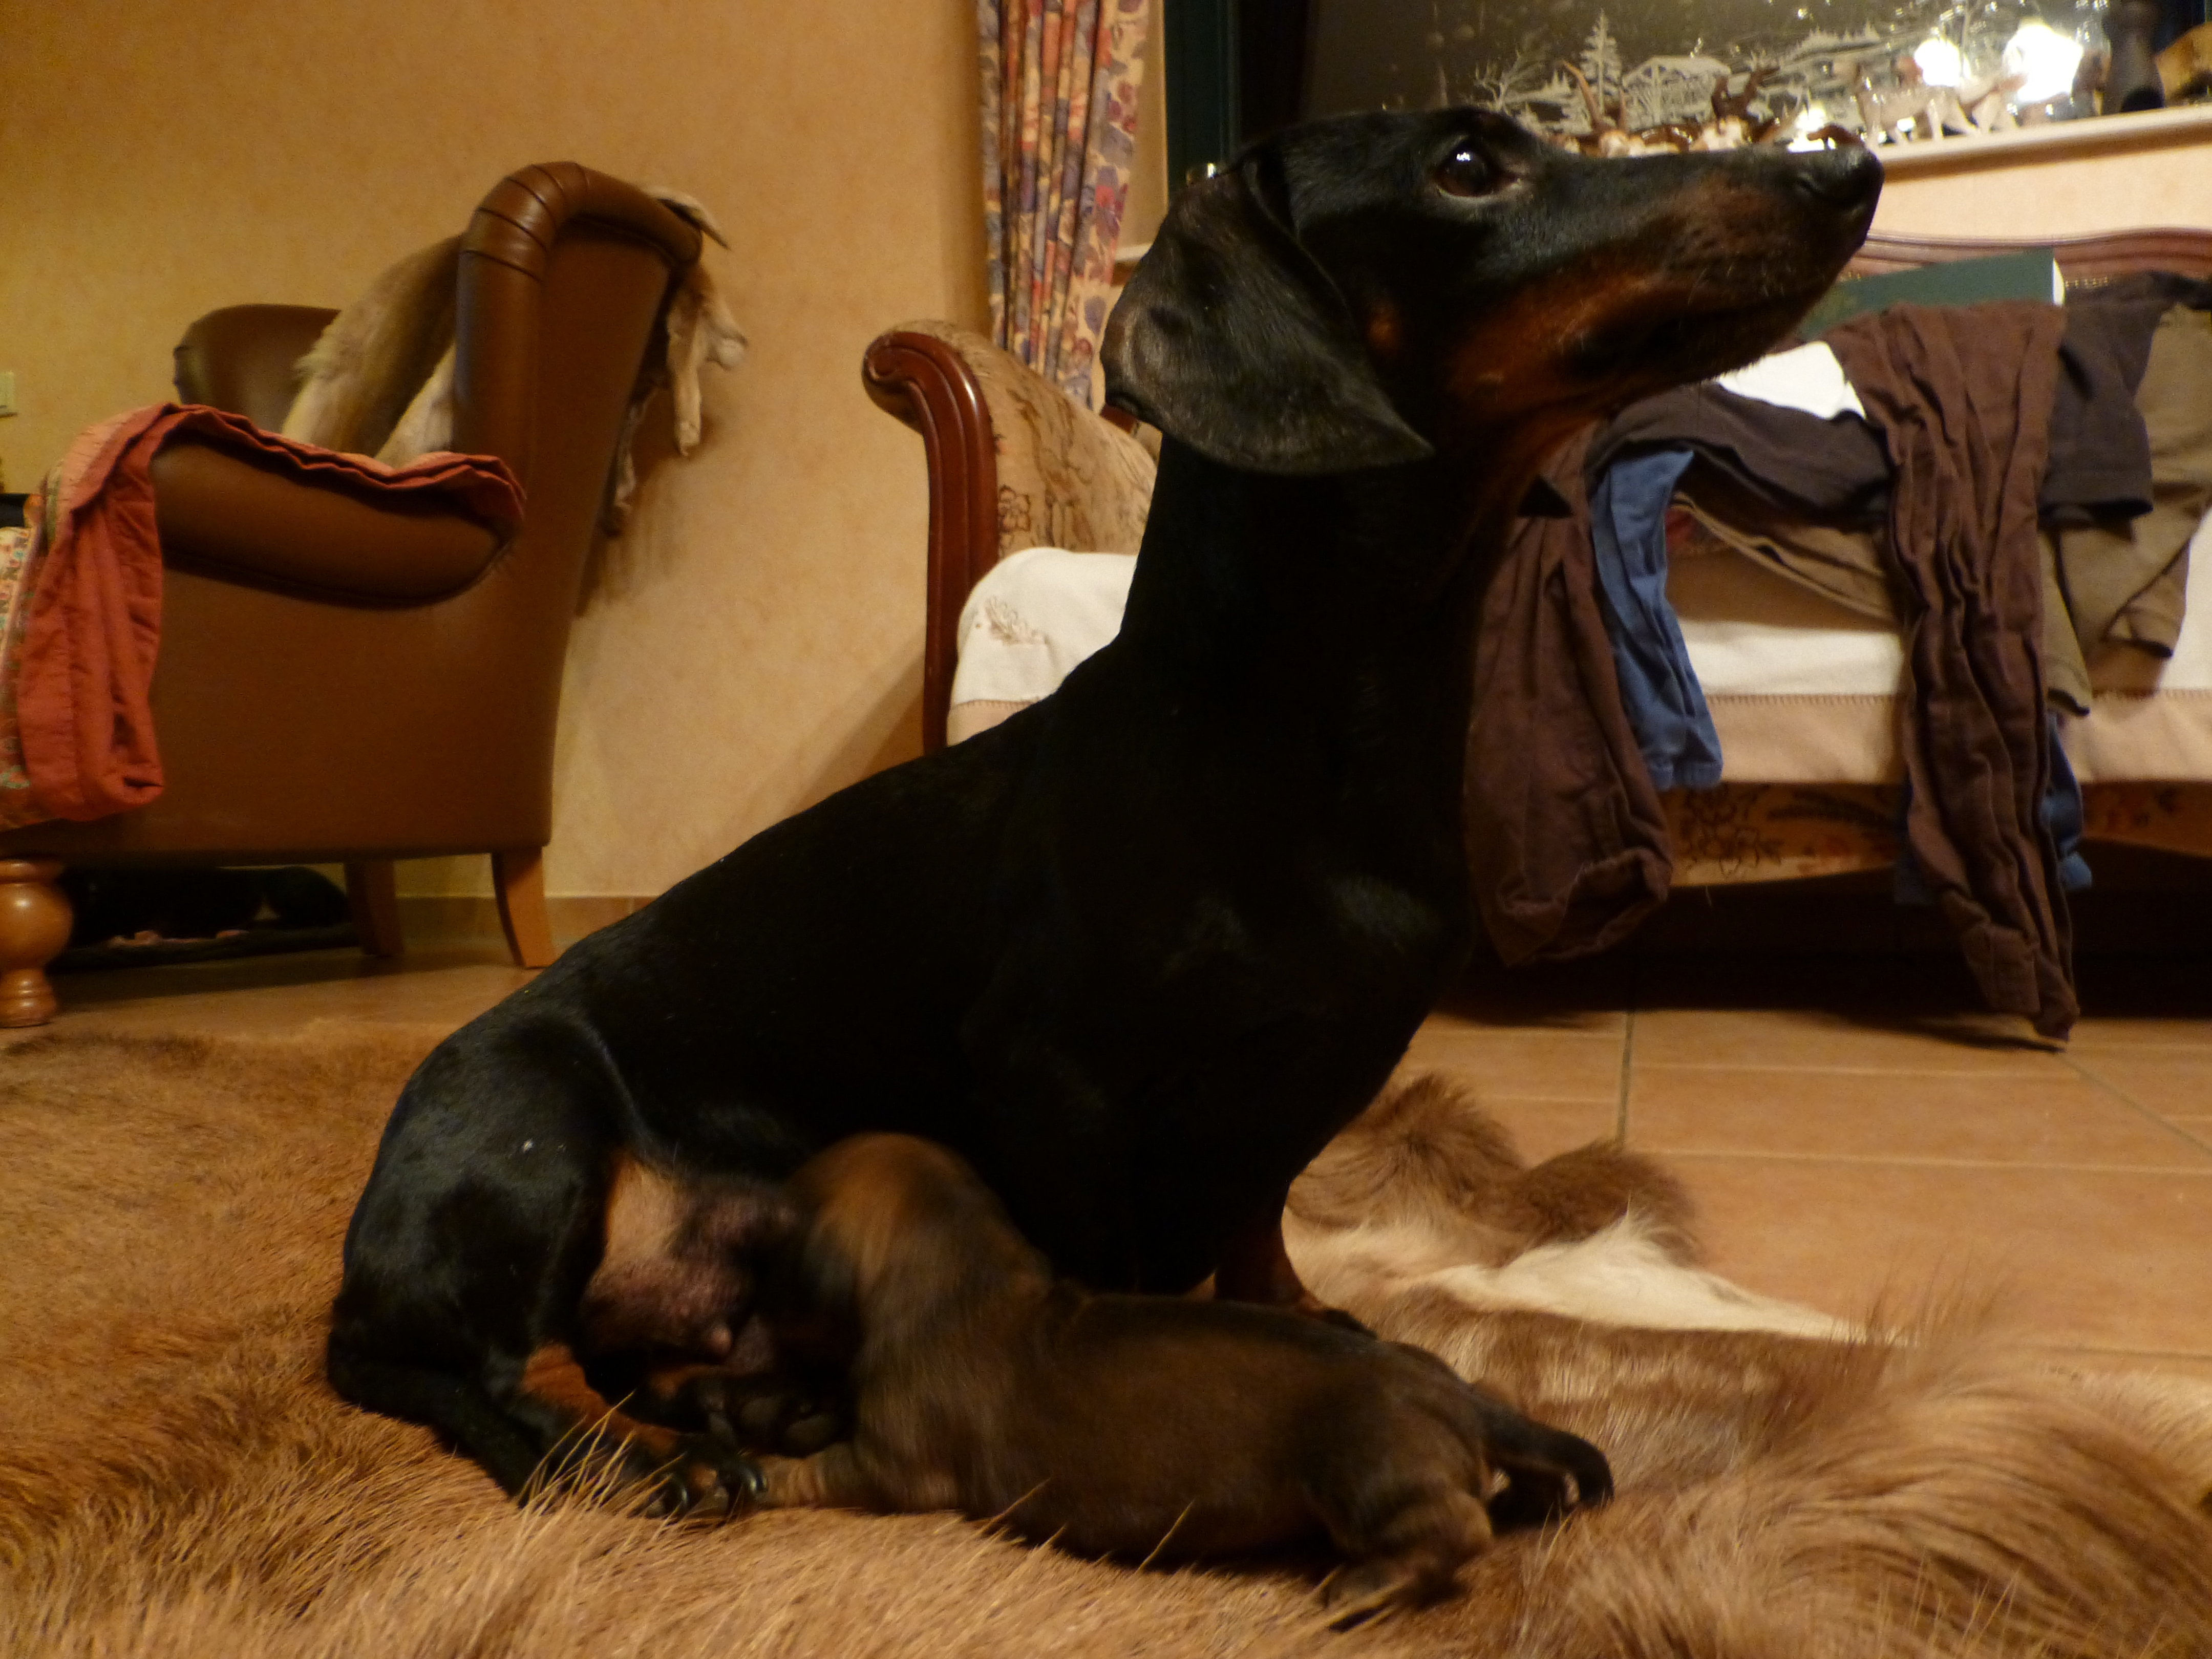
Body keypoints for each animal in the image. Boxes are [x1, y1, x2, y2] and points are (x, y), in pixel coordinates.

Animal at [328, 108, 1880, 1508]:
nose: (1849, 165)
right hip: (528, 1139)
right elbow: (1117, 1270)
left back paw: (727, 1406)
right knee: (465, 1373)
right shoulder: (1054, 1079)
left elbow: (1255, 1222)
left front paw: (1301, 1317)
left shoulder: (1313, 1070)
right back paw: (642, 1458)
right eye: (1463, 165)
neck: (1305, 736)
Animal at [648, 1132, 1613, 1616]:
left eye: (776, 1253)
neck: (962, 1269)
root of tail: (1449, 1394)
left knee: (1454, 1530)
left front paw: (742, 1471)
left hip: (1362, 1475)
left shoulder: (889, 1467)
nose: (727, 1329)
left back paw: (1368, 1585)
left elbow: (809, 1470)